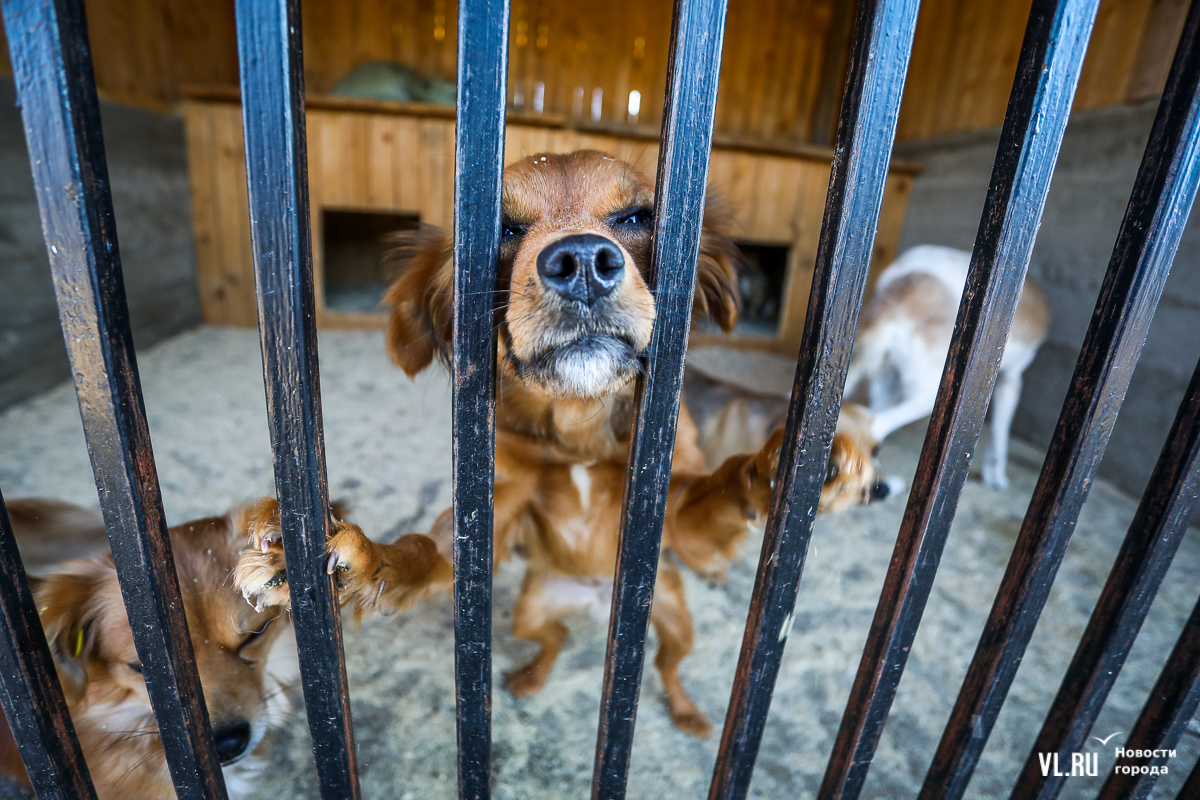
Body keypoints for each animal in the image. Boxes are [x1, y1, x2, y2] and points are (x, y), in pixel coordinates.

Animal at [844, 244, 1051, 491]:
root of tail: (899, 289)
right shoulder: (1011, 380)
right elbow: (1000, 433)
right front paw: (996, 477)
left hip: (888, 381)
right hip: (932, 394)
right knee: (878, 425)